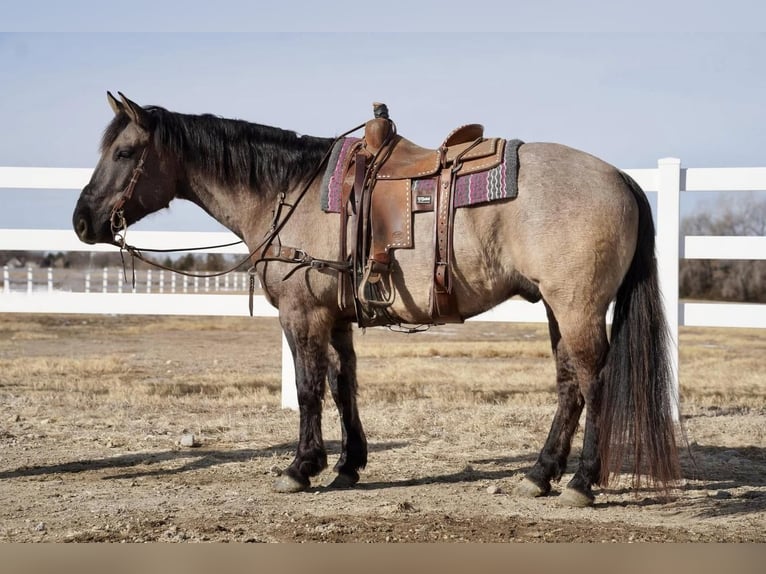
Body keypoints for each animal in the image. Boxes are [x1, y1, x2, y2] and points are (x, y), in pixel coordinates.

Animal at [73, 91, 684, 508]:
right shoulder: (337, 317)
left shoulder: (303, 314)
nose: (81, 221)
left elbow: (308, 387)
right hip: (560, 309)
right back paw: (540, 473)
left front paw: (300, 467)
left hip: (577, 306)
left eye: (125, 151)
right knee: (569, 384)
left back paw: (581, 481)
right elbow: (344, 384)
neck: (288, 192)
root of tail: (621, 178)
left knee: (593, 382)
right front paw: (348, 465)